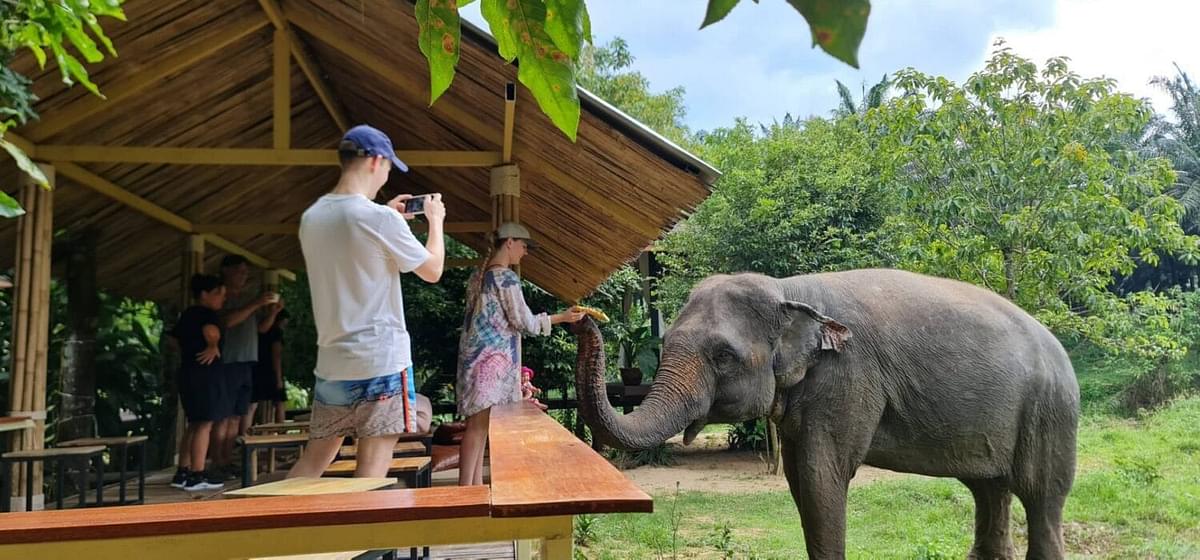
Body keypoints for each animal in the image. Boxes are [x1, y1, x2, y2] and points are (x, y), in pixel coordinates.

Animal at [571, 269, 1080, 558]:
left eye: (723, 357)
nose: (583, 315)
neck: (788, 290)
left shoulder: (847, 377)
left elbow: (822, 477)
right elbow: (800, 478)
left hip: (1048, 413)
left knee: (1040, 498)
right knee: (990, 490)